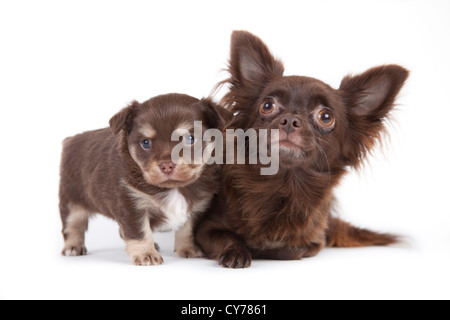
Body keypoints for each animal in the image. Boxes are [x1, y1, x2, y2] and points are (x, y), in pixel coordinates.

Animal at [59, 94, 230, 266]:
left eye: (190, 139)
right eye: (146, 143)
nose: (167, 165)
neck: (174, 188)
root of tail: (70, 139)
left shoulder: (198, 207)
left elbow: (187, 229)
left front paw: (188, 248)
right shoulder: (132, 205)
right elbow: (139, 232)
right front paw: (146, 254)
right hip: (71, 200)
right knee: (73, 225)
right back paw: (73, 247)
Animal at [195, 31, 410, 268]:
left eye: (325, 117)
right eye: (267, 106)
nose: (290, 120)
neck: (284, 182)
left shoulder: (313, 241)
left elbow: (290, 249)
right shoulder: (206, 230)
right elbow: (229, 238)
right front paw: (238, 251)